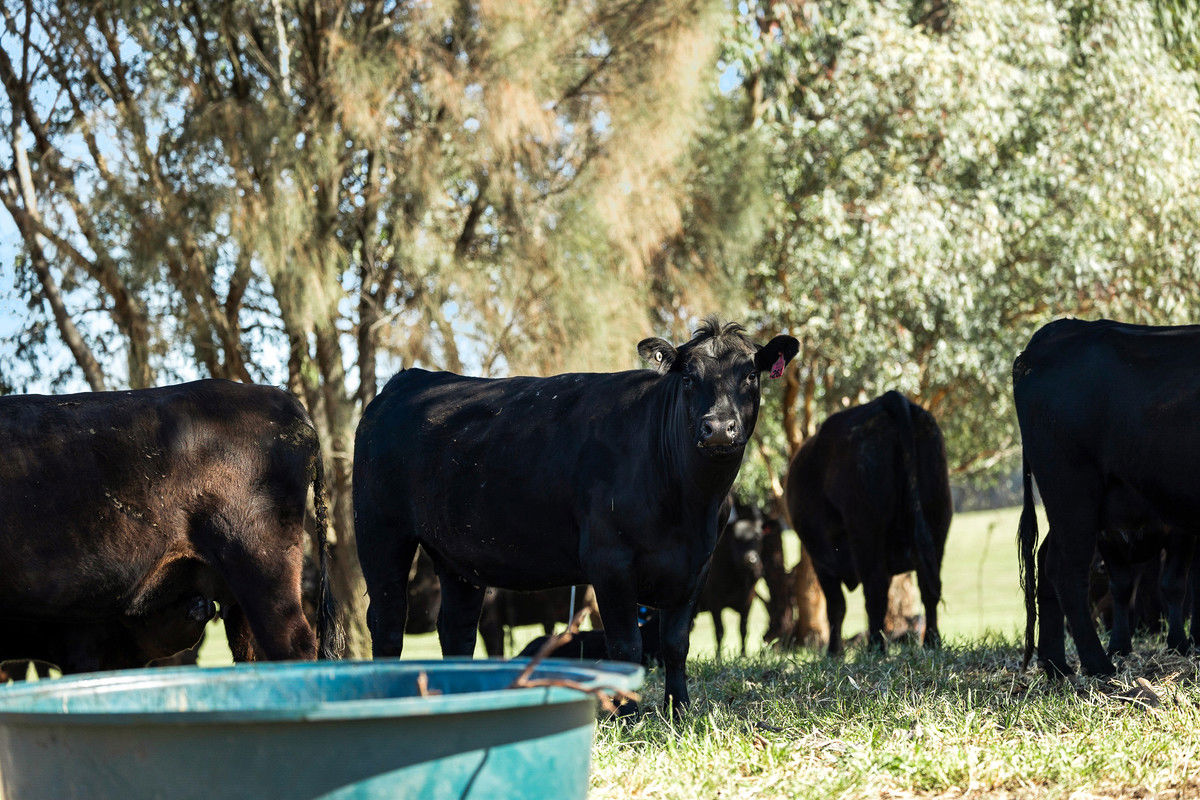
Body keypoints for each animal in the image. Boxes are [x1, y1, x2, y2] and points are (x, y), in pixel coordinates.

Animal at [696, 498, 764, 656]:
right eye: (736, 539)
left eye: (758, 537)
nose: (751, 560)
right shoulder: (715, 603)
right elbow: (720, 631)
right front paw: (718, 657)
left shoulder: (748, 601)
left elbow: (743, 630)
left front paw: (743, 655)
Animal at [786, 390, 952, 655]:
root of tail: (887, 399)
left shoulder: (822, 561)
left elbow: (836, 606)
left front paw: (834, 652)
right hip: (938, 521)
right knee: (929, 589)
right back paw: (932, 642)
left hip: (865, 532)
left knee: (875, 592)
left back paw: (876, 647)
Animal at [1014, 318, 1200, 677]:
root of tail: (1056, 331)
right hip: (1072, 494)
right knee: (1066, 570)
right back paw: (1098, 664)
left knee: (1046, 560)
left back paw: (1056, 664)